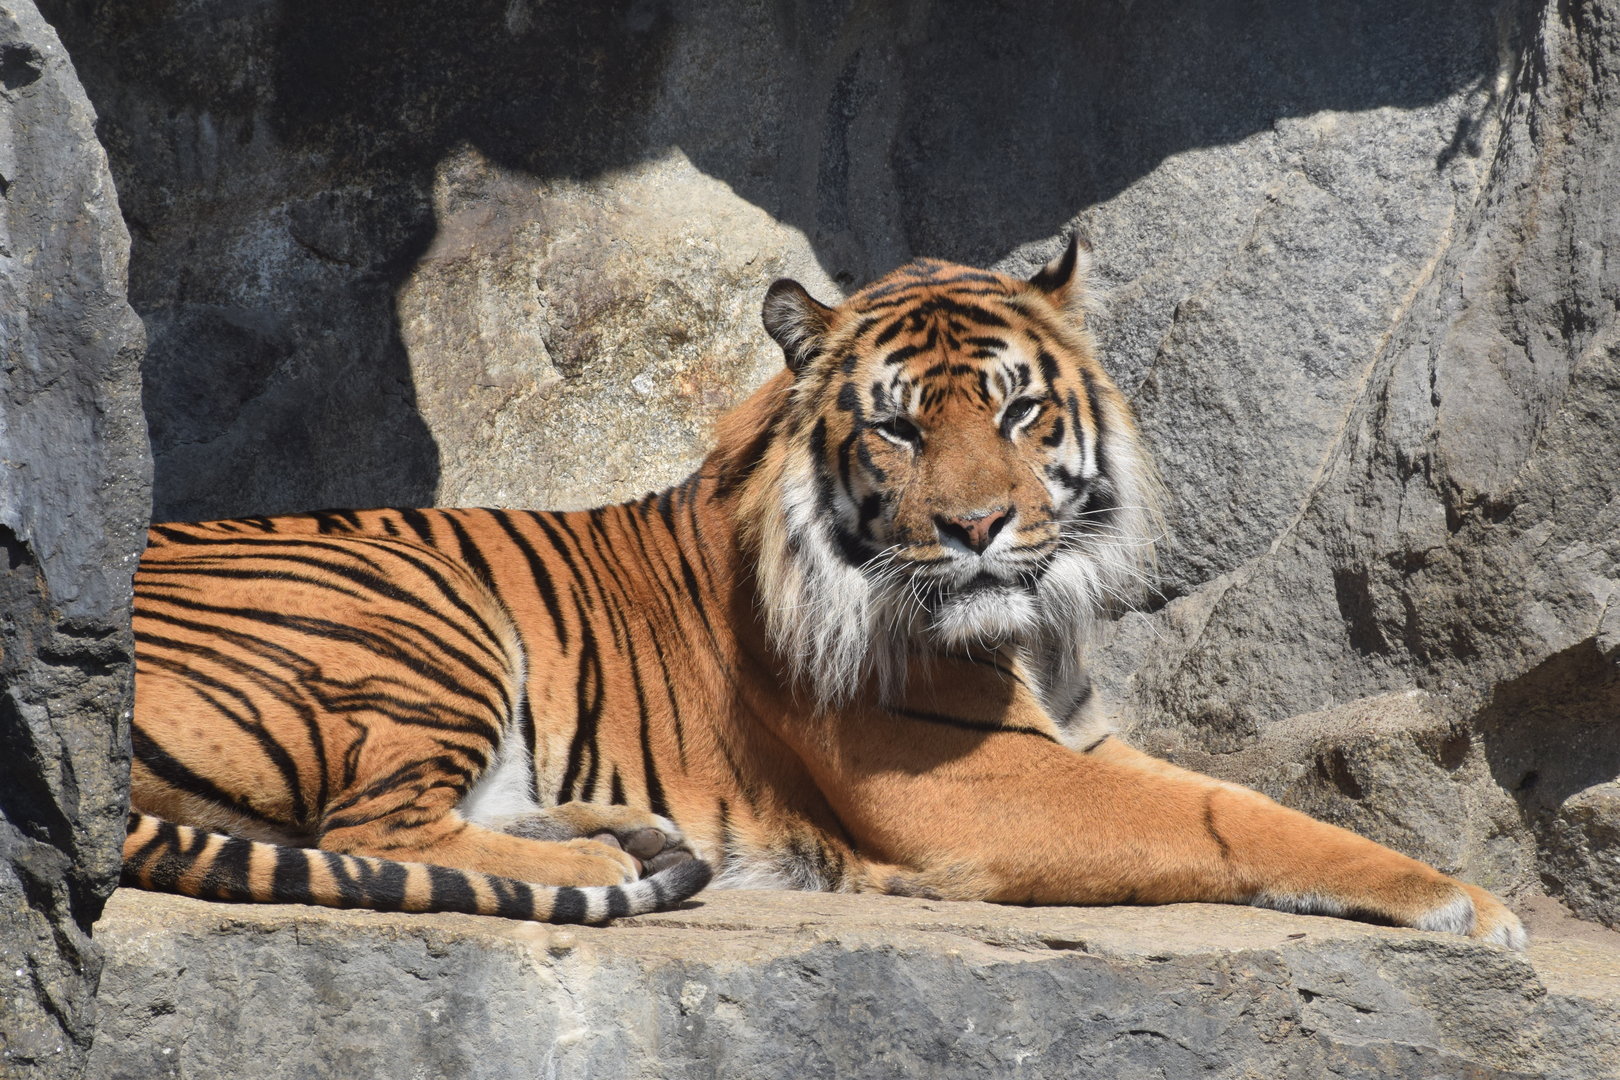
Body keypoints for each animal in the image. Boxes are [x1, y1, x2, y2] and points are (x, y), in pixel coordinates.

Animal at [125, 236, 1526, 945]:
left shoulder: (1077, 742)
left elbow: (1231, 800)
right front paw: (1464, 898)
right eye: (898, 429)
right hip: (412, 596)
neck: (1037, 636)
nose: (976, 528)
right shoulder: (980, 783)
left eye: (1018, 411)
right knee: (375, 829)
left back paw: (631, 834)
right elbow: (1231, 817)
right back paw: (623, 849)